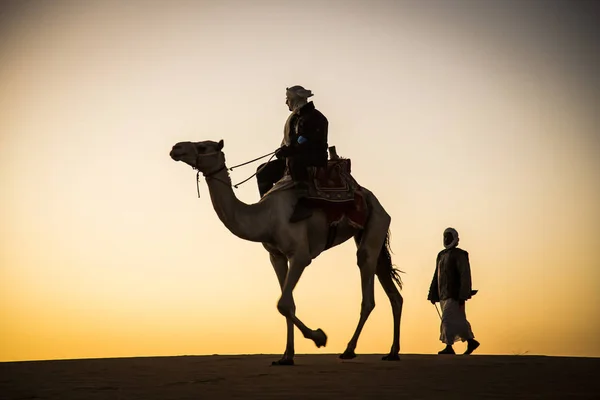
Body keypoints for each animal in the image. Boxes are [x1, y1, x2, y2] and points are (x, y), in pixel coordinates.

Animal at [169, 139, 404, 364]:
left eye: (203, 146)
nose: (176, 148)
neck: (266, 218)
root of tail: (374, 199)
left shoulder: (300, 255)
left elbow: (283, 303)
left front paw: (319, 337)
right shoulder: (276, 256)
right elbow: (288, 304)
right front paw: (287, 356)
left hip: (374, 225)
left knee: (367, 289)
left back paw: (349, 350)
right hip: (370, 233)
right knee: (392, 290)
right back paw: (392, 352)